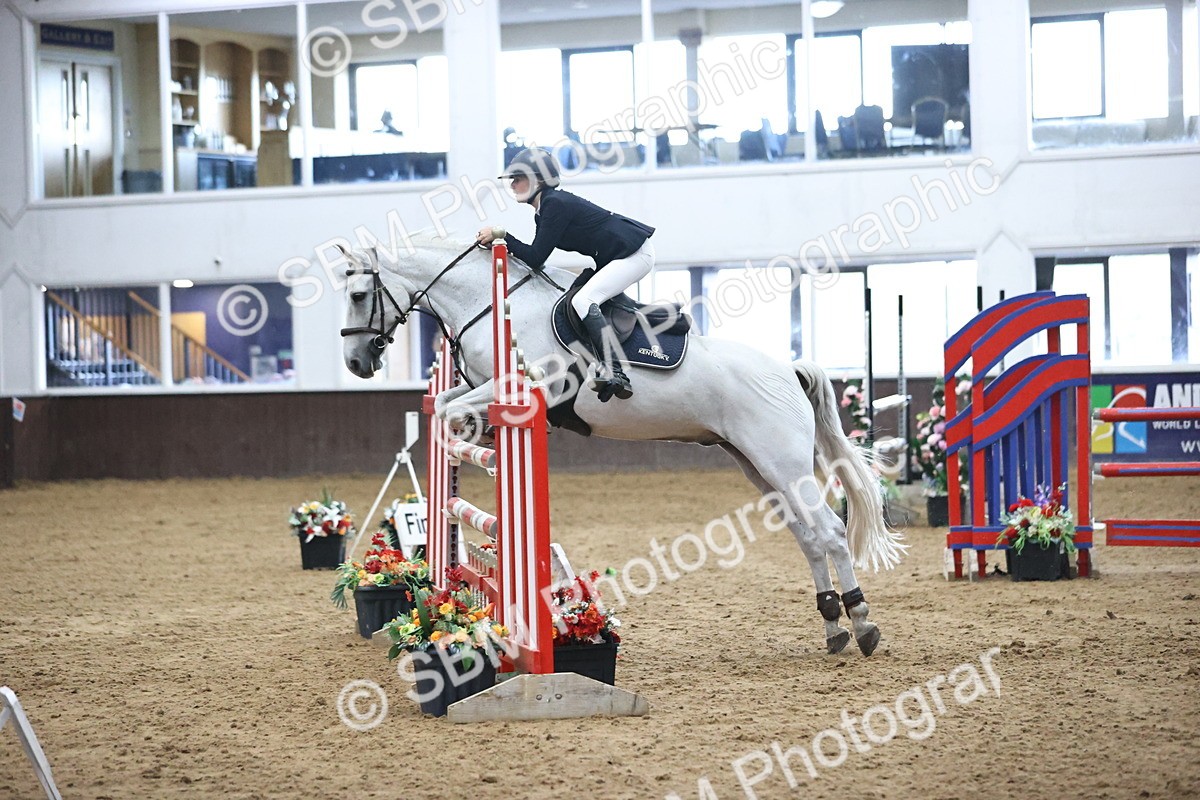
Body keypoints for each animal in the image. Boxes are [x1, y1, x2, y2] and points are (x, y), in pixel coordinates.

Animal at [339, 237, 906, 656]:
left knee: (830, 532)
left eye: (358, 295)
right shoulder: (483, 386)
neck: (491, 301)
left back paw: (861, 622)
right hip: (757, 466)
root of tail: (788, 369)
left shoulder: (528, 388)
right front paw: (469, 439)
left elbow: (451, 412)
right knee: (808, 538)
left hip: (783, 464)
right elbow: (445, 405)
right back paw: (833, 627)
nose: (357, 363)